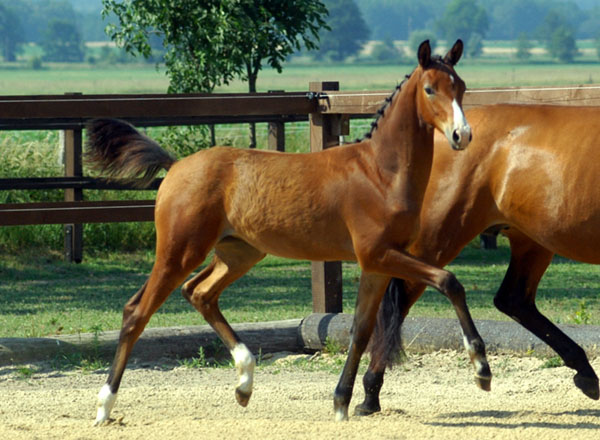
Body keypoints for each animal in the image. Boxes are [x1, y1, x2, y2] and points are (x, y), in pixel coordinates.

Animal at [88, 39, 482, 424]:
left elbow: (361, 330)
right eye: (430, 89)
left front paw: (341, 401)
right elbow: (449, 281)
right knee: (136, 312)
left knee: (199, 293)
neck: (380, 173)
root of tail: (175, 166)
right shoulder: (378, 254)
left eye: (461, 86)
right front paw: (481, 367)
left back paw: (245, 382)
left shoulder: (378, 263)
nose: (462, 135)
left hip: (238, 253)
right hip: (179, 251)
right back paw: (105, 406)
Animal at [356, 102, 600, 416]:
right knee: (402, 301)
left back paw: (584, 372)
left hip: (531, 240)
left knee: (513, 300)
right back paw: (370, 394)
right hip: (439, 237)